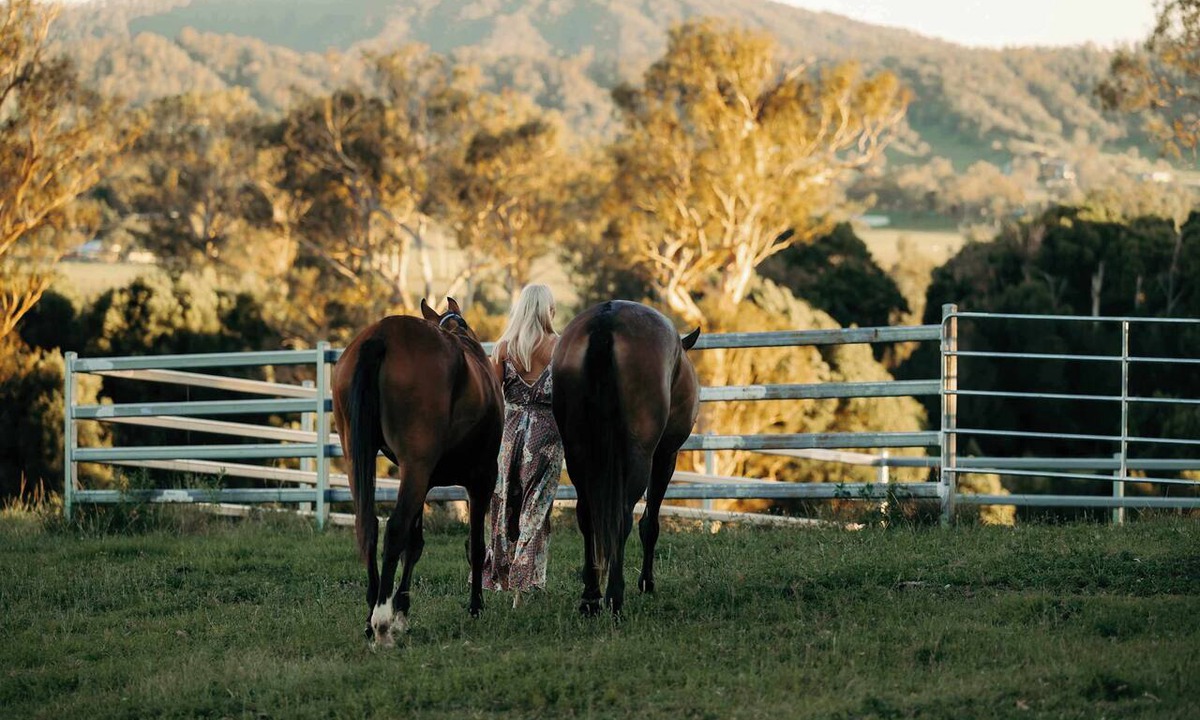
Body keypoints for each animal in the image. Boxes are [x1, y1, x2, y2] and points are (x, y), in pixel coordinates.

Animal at [331, 297, 503, 646]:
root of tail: (382, 335)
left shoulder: (424, 481)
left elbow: (415, 544)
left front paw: (403, 611)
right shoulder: (482, 478)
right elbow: (476, 546)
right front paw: (476, 607)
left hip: (363, 459)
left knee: (369, 526)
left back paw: (372, 616)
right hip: (418, 466)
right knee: (394, 529)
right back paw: (382, 622)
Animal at [551, 300, 701, 616]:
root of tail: (606, 321)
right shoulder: (666, 455)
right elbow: (650, 522)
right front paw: (646, 582)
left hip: (578, 453)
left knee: (587, 515)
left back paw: (591, 596)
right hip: (639, 456)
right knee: (622, 518)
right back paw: (614, 597)